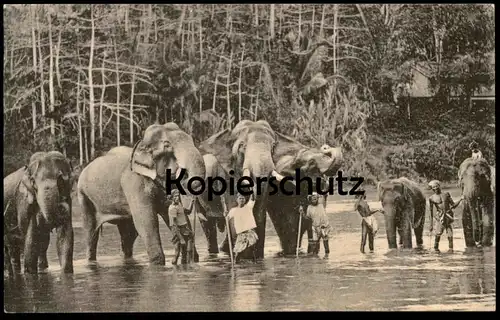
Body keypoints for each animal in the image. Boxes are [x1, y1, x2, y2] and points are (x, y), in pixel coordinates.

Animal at [76, 122, 205, 264]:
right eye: (167, 146)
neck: (141, 145)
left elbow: (170, 214)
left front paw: (193, 259)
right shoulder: (134, 183)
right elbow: (146, 221)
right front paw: (158, 263)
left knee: (128, 234)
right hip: (84, 196)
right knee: (91, 232)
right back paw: (91, 261)